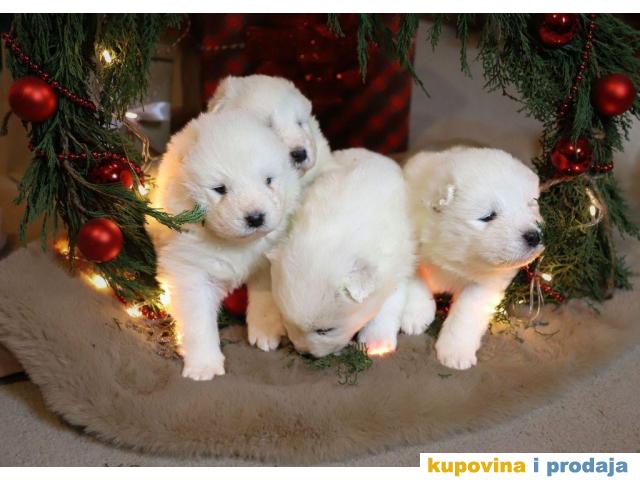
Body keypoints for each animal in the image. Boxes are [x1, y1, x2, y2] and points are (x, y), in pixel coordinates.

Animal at [153, 109, 300, 380]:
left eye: (268, 181)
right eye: (220, 189)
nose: (256, 217)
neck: (234, 244)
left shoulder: (266, 262)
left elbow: (265, 297)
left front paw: (265, 331)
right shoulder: (190, 274)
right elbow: (199, 322)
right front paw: (204, 365)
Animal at [269, 148, 429, 358]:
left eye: (325, 330)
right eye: (287, 320)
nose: (305, 353)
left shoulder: (394, 269)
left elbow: (386, 307)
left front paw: (376, 341)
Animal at [404, 147, 544, 370]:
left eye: (529, 207)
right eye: (488, 216)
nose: (534, 236)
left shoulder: (486, 284)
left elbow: (465, 313)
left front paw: (455, 353)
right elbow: (415, 280)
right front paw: (416, 316)